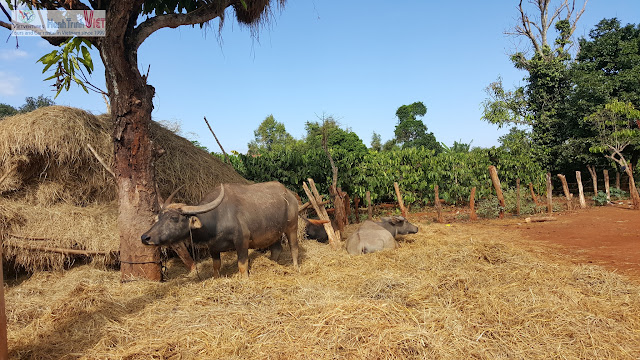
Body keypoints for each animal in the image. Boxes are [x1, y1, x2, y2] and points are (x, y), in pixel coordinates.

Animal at [141, 181, 300, 278]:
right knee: (276, 249)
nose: (145, 237)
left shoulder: (242, 241)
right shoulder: (213, 247)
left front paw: (245, 278)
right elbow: (216, 266)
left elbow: (242, 265)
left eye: (174, 217)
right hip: (275, 232)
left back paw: (295, 267)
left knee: (294, 248)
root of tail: (290, 195)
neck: (216, 220)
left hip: (292, 227)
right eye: (159, 217)